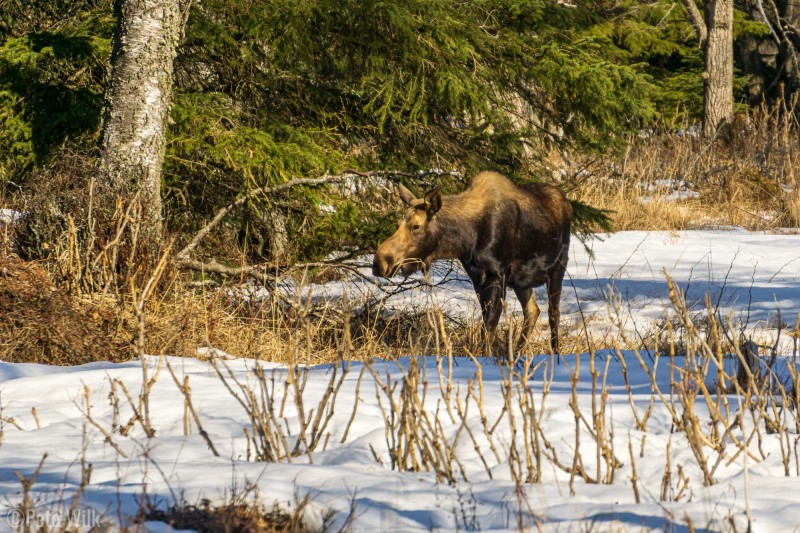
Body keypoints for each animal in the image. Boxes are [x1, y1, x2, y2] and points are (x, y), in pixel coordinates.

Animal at [372, 170, 572, 354]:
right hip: (520, 282)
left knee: (553, 314)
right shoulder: (477, 278)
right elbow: (487, 326)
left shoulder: (497, 275)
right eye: (397, 224)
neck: (466, 241)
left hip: (557, 268)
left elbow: (488, 329)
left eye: (416, 226)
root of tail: (567, 203)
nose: (380, 262)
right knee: (532, 310)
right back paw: (516, 353)